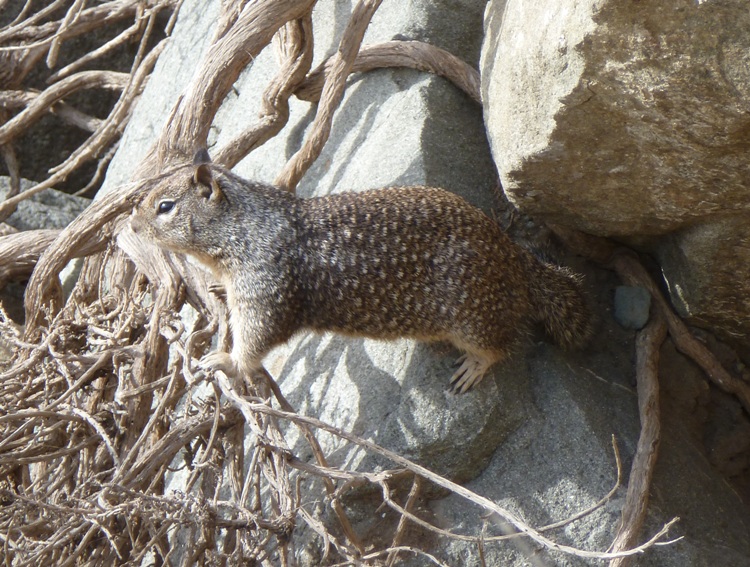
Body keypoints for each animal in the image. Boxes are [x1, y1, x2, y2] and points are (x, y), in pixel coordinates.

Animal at [131, 151, 592, 392]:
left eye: (165, 206)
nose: (131, 226)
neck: (246, 225)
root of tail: (513, 255)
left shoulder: (266, 285)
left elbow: (257, 339)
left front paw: (225, 361)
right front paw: (217, 290)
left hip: (473, 318)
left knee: (503, 345)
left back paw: (473, 368)